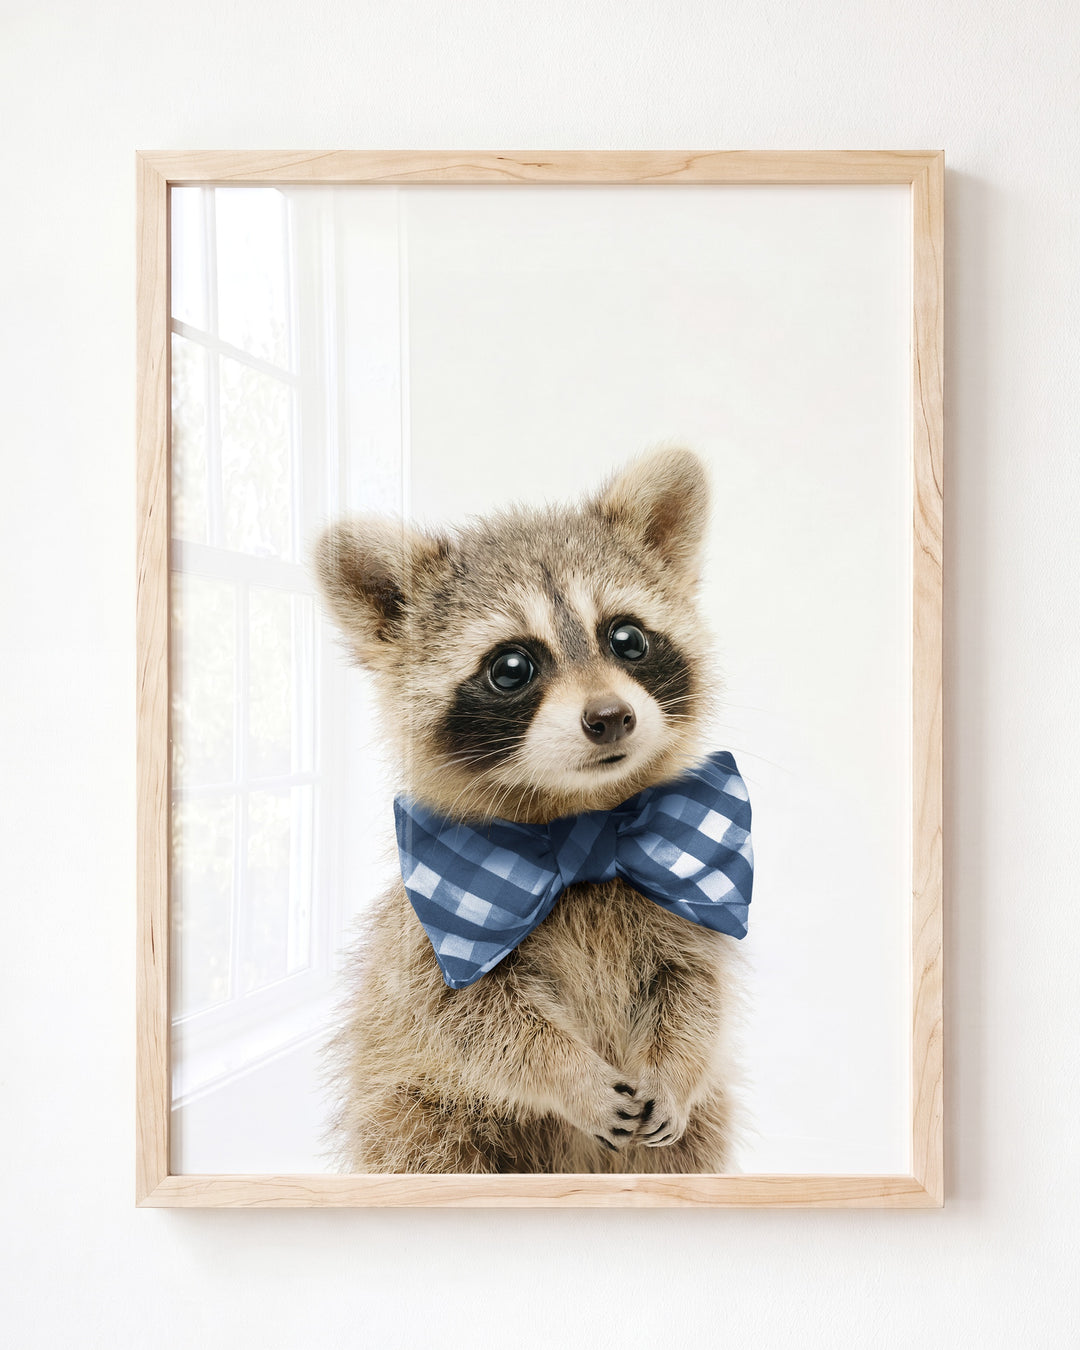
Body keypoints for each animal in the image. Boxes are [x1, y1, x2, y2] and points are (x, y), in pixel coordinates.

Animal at [314, 447, 744, 1173]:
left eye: (627, 638)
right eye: (511, 667)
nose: (610, 717)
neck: (583, 821)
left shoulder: (681, 902)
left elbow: (695, 991)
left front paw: (676, 1068)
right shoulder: (434, 936)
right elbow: (473, 1023)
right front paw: (570, 1075)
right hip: (414, 1114)